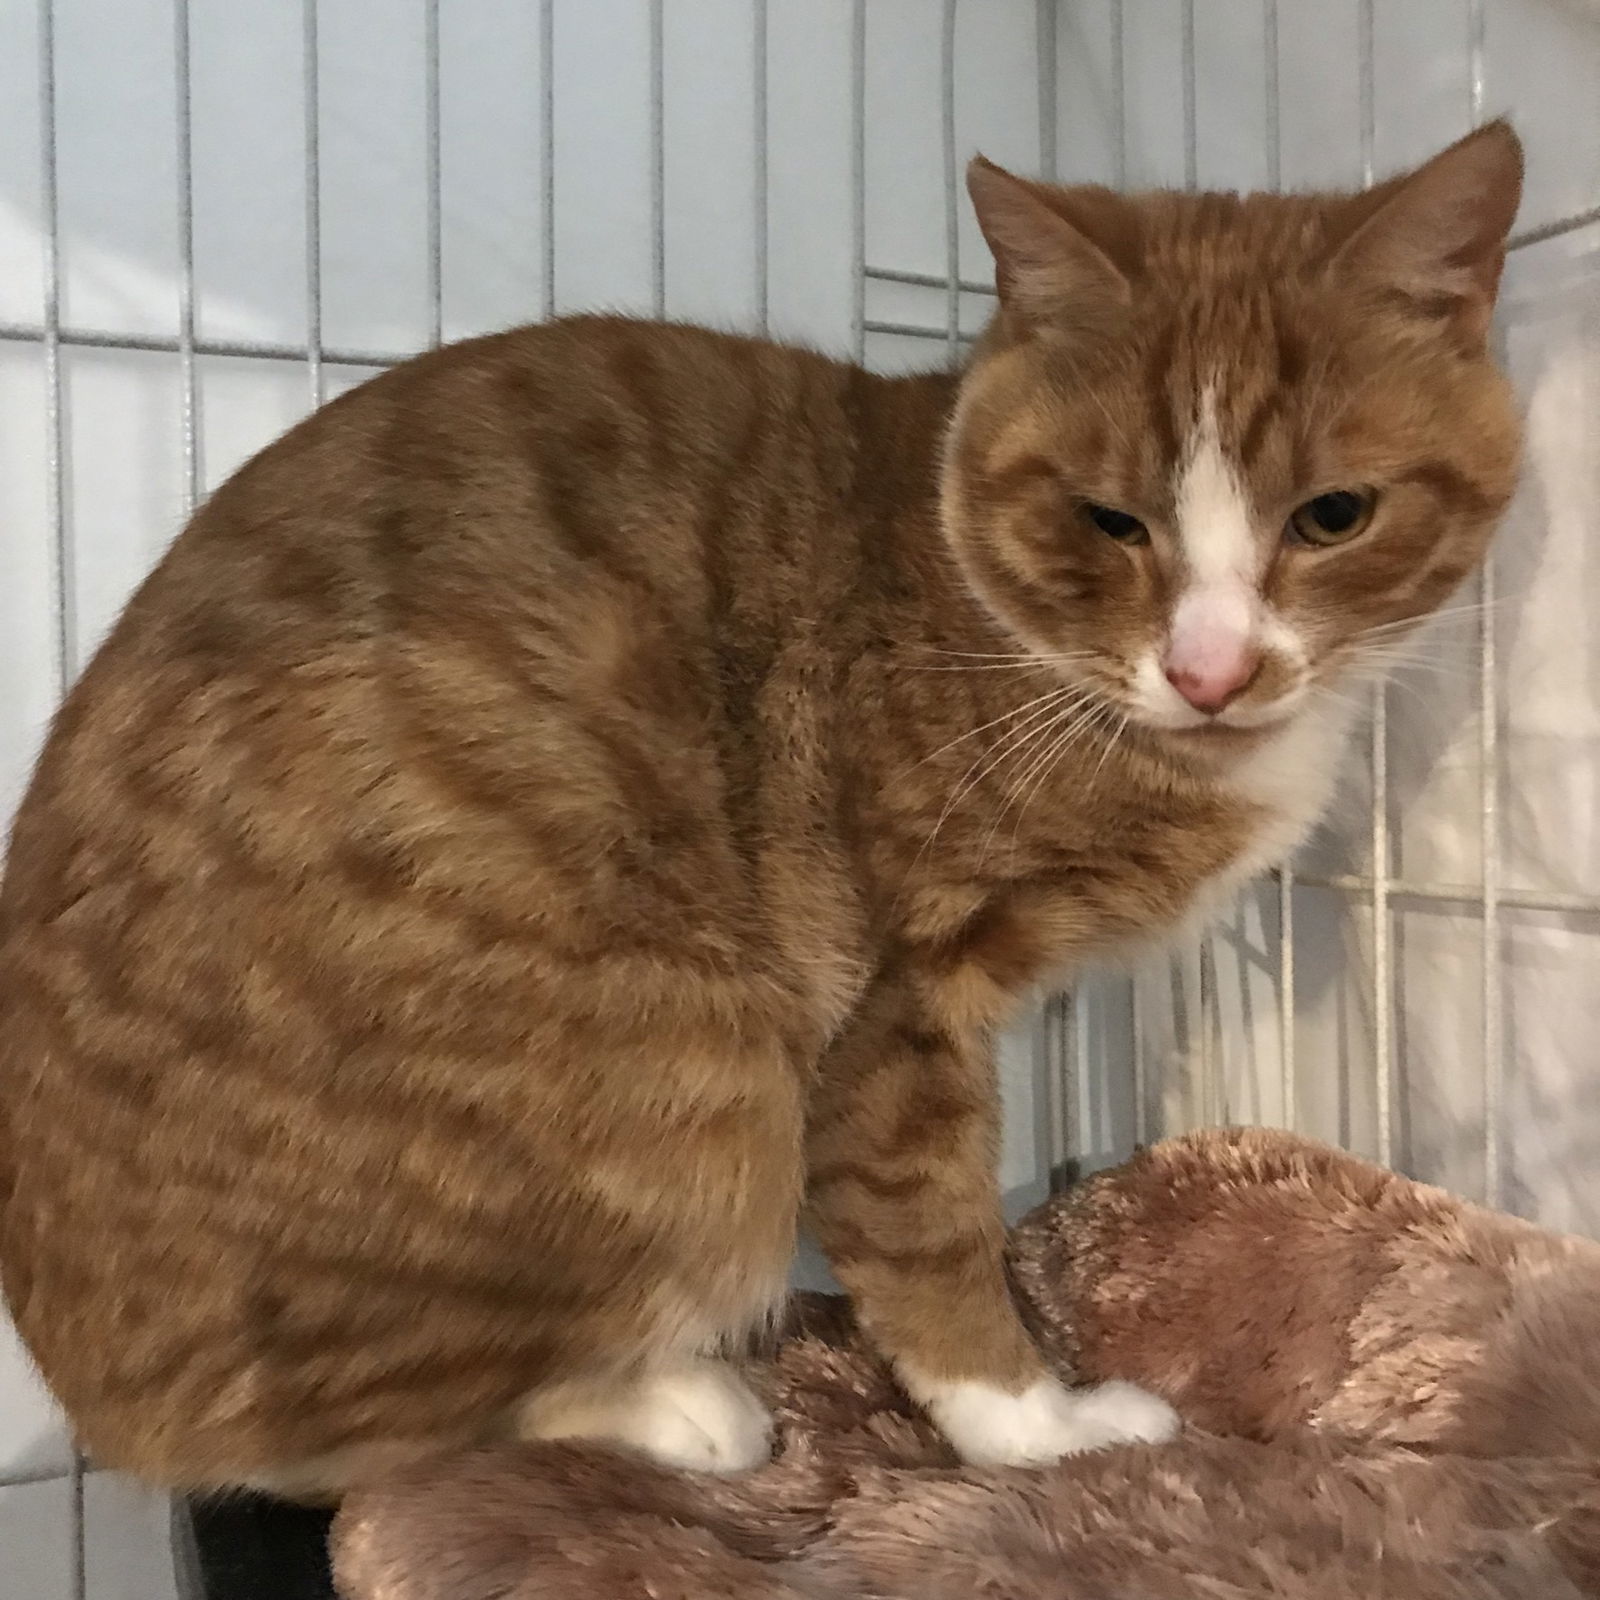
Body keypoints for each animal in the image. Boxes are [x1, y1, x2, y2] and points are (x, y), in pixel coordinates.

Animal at [0, 118, 1523, 1491]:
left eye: (1333, 515)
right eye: (1108, 520)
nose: (1211, 668)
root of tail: (83, 1388)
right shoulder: (899, 1000)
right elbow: (926, 1228)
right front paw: (1043, 1429)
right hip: (699, 1071)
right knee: (332, 1440)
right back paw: (676, 1404)